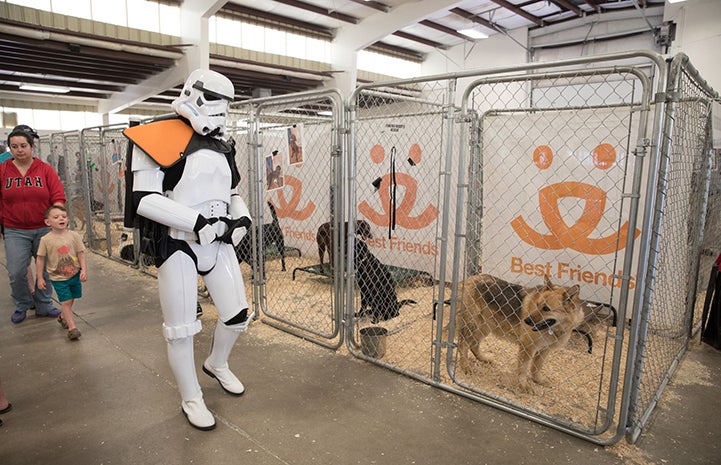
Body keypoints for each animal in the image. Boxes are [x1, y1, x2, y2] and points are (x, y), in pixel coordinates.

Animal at [450, 274, 584, 394]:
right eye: (537, 305)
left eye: (546, 309)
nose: (526, 321)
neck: (555, 329)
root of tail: (468, 279)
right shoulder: (528, 348)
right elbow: (523, 369)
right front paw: (523, 385)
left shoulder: (544, 350)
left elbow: (536, 368)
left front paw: (537, 380)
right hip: (473, 325)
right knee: (463, 345)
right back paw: (465, 366)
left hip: (485, 327)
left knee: (474, 345)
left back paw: (483, 359)